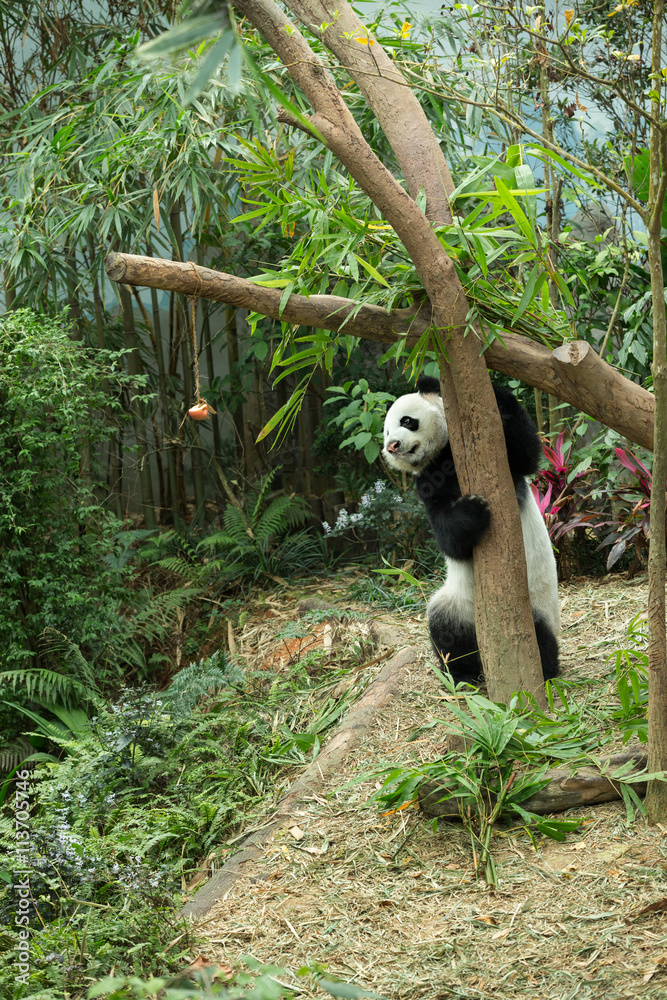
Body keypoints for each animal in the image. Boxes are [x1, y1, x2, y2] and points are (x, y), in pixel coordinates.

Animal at [382, 374, 559, 686]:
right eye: (386, 431)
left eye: (407, 421)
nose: (392, 445)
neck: (442, 456)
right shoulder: (428, 484)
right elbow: (449, 538)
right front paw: (473, 510)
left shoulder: (505, 464)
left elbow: (525, 454)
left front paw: (495, 388)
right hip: (456, 604)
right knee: (446, 631)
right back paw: (462, 674)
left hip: (534, 602)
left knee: (536, 637)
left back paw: (545, 669)